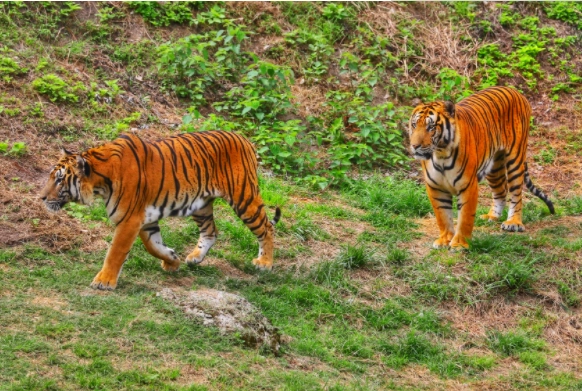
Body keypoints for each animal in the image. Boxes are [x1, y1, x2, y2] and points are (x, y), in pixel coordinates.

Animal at [40, 132, 282, 290]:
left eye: (59, 179)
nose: (41, 197)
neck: (101, 181)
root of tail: (245, 139)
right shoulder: (145, 220)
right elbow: (153, 246)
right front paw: (172, 260)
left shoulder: (129, 220)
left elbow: (115, 252)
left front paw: (104, 281)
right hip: (201, 205)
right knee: (211, 231)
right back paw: (195, 257)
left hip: (244, 198)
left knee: (266, 228)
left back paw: (265, 263)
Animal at [410, 87, 556, 250]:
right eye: (414, 125)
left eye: (431, 127)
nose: (414, 146)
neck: (440, 154)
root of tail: (514, 90)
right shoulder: (435, 187)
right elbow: (442, 216)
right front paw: (445, 239)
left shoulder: (468, 186)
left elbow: (465, 217)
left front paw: (460, 244)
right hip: (494, 166)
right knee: (501, 190)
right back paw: (492, 216)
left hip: (515, 159)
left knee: (516, 193)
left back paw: (513, 223)